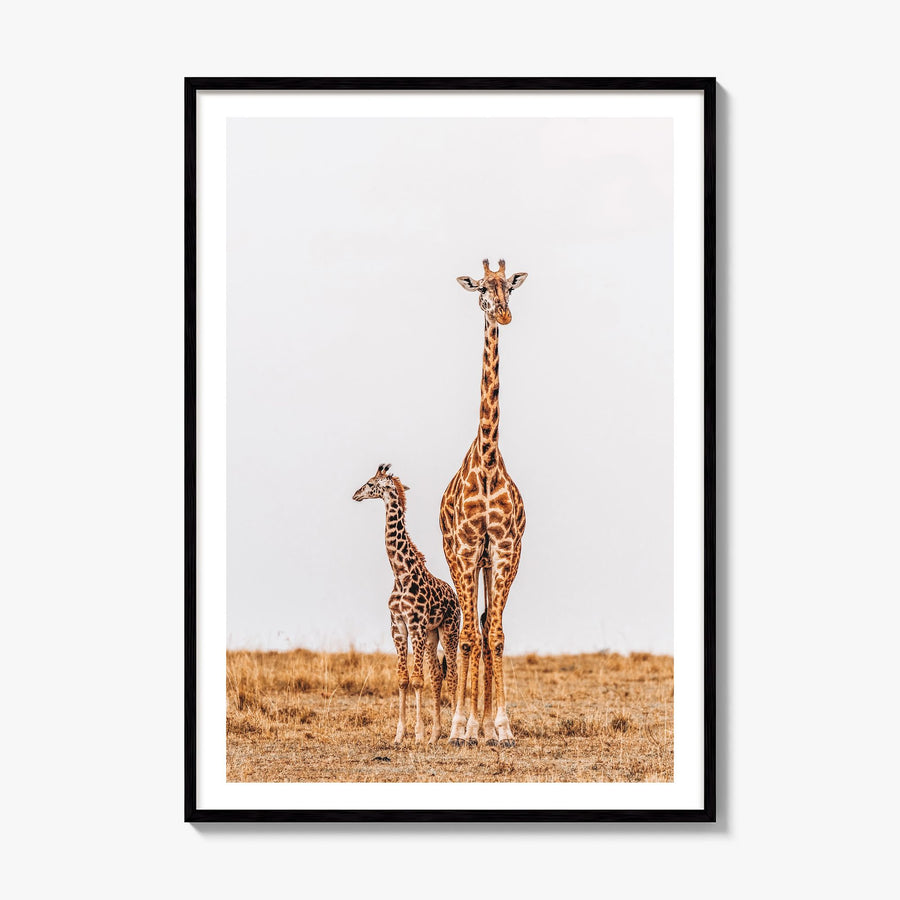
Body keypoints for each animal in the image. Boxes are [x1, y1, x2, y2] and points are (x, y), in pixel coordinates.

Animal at [353, 463, 460, 745]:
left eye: (371, 484)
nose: (356, 494)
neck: (400, 574)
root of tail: (455, 597)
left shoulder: (416, 625)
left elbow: (417, 679)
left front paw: (418, 734)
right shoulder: (398, 626)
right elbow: (403, 679)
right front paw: (400, 735)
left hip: (448, 630)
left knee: (453, 675)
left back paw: (455, 732)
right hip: (433, 635)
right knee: (437, 676)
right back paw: (436, 735)